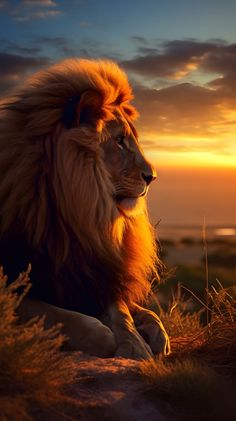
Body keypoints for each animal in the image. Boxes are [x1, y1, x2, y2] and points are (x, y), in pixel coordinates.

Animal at [0, 59, 170, 360]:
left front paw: (137, 343)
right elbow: (75, 322)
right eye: (119, 140)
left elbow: (123, 312)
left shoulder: (95, 274)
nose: (152, 176)